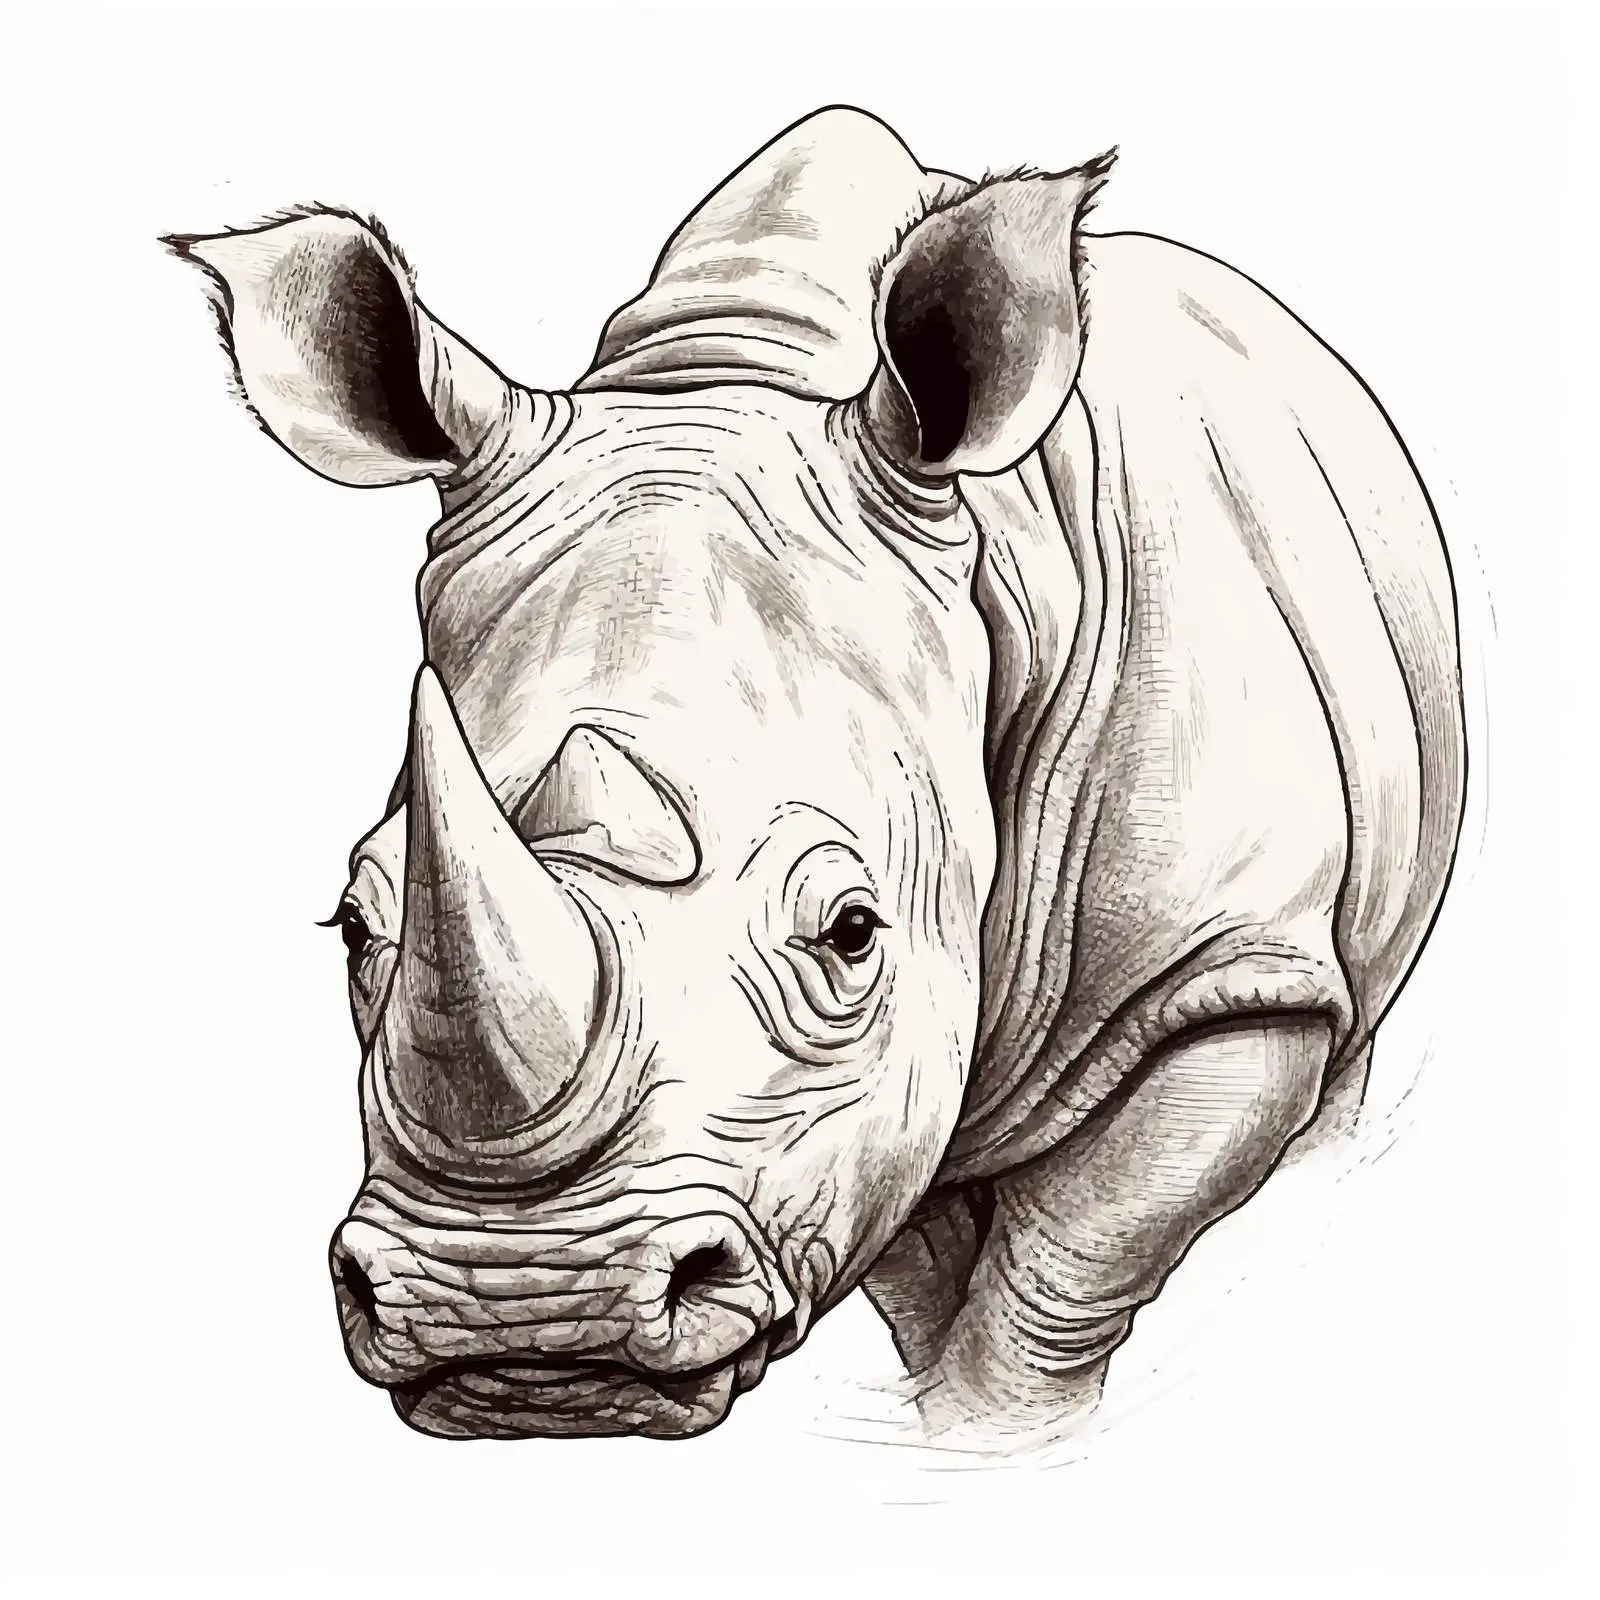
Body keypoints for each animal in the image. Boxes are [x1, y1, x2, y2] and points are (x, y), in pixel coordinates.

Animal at [166, 106, 1464, 1445]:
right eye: (353, 925)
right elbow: (918, 1242)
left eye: (849, 930)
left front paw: (1002, 1441)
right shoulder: (861, 1112)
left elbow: (1060, 1277)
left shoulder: (1230, 965)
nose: (525, 1312)